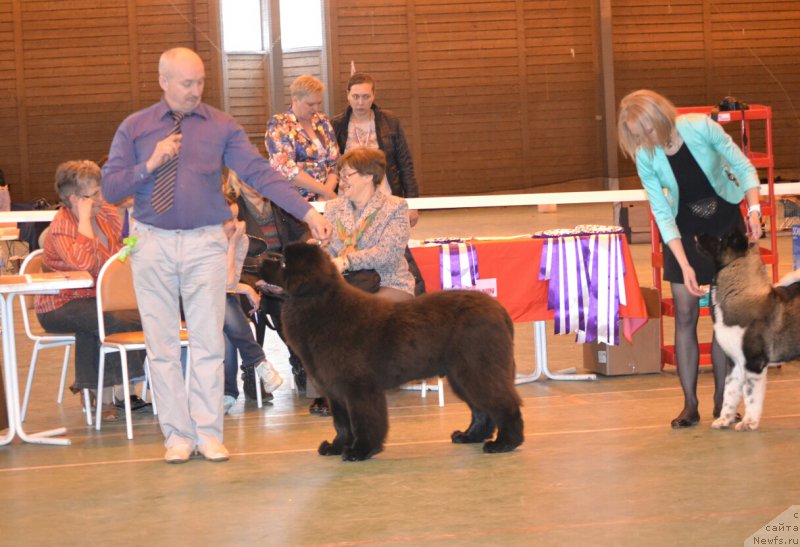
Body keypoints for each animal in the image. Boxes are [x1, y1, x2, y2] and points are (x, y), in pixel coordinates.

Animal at [262, 242, 524, 460]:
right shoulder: (334, 389)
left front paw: (361, 450)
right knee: (482, 409)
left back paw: (504, 443)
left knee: (503, 403)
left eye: (282, 261)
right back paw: (470, 436)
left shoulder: (358, 386)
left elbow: (364, 420)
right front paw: (336, 447)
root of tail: (498, 309)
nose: (261, 258)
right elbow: (342, 424)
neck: (320, 305)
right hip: (461, 375)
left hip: (477, 369)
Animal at [696, 231, 800, 432]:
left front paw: (748, 422)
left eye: (720, 239)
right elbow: (729, 393)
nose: (700, 233)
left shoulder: (753, 362)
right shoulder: (735, 362)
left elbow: (750, 395)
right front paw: (724, 419)